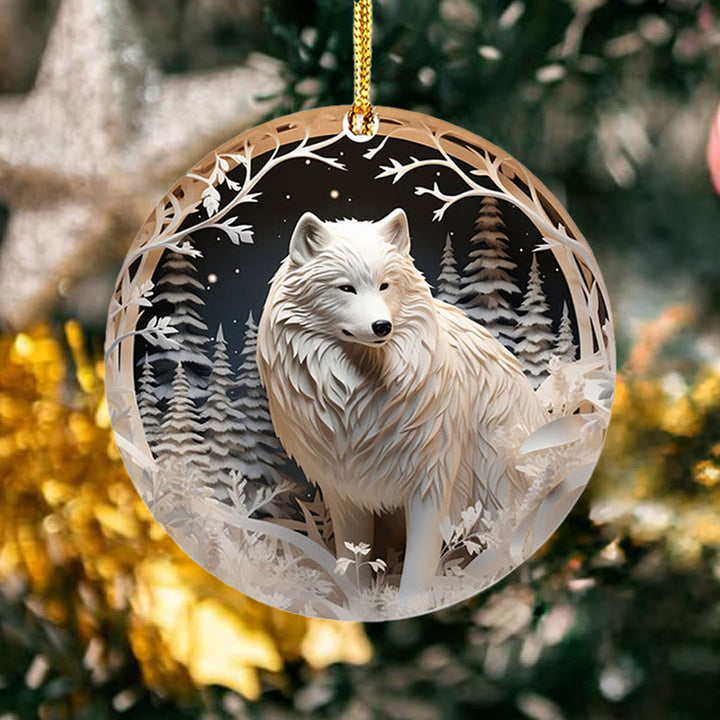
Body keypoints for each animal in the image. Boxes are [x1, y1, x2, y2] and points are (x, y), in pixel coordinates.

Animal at [257, 208, 548, 601]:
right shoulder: (345, 489)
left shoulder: (431, 482)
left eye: (385, 285)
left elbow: (419, 567)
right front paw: (358, 604)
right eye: (346, 288)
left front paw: (406, 606)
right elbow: (352, 559)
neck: (357, 400)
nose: (382, 326)